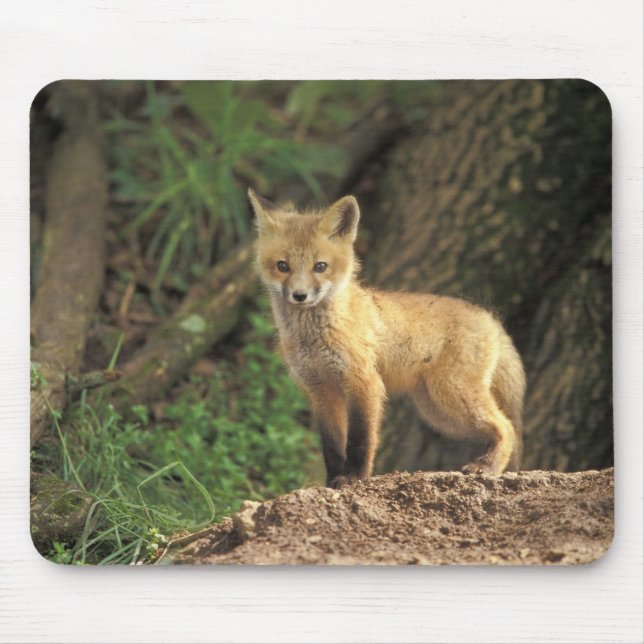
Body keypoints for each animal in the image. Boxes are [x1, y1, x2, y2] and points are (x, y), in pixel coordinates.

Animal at [249, 188, 526, 488]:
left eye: (320, 266)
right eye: (283, 266)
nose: (300, 295)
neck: (314, 339)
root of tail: (489, 316)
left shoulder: (365, 383)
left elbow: (361, 439)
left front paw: (354, 477)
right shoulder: (321, 391)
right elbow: (331, 445)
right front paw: (332, 480)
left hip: (451, 395)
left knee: (507, 427)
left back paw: (488, 467)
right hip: (439, 413)